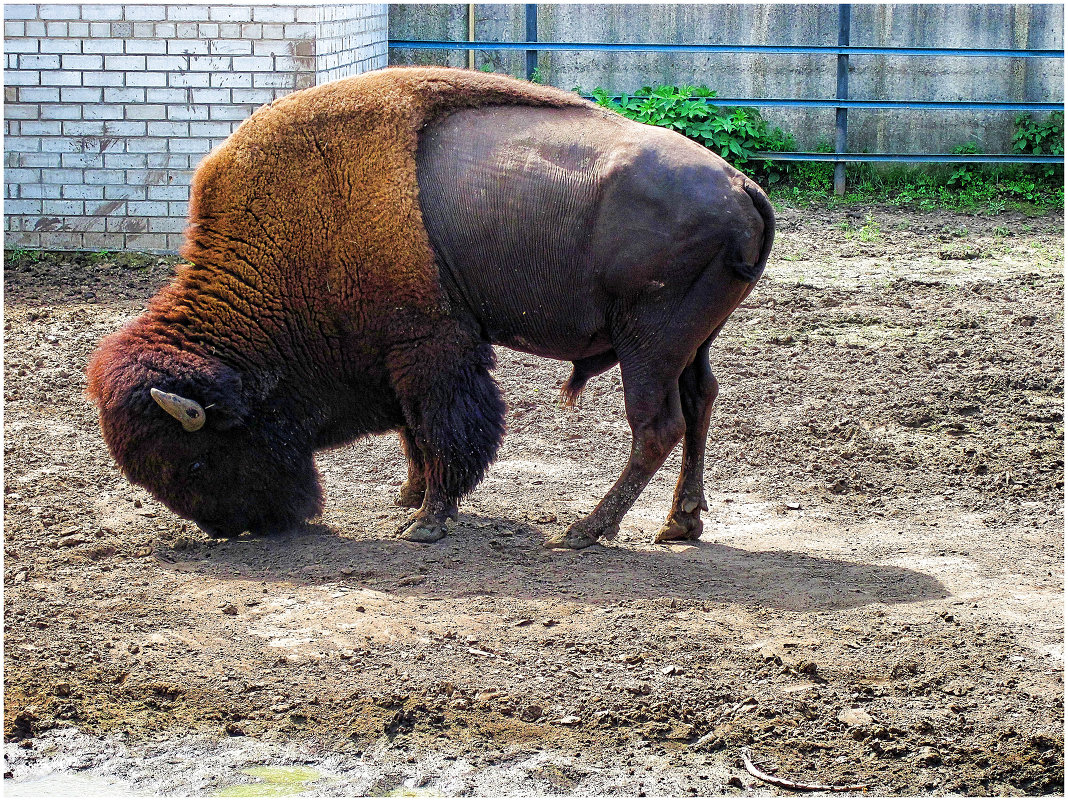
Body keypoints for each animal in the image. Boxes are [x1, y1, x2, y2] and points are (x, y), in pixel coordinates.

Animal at [87, 67, 773, 551]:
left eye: (196, 458)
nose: (244, 525)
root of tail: (743, 186)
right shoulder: (394, 356)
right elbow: (411, 429)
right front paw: (408, 496)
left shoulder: (431, 345)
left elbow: (445, 428)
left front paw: (426, 520)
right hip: (689, 345)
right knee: (700, 405)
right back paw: (678, 524)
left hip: (648, 346)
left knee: (656, 427)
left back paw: (584, 531)